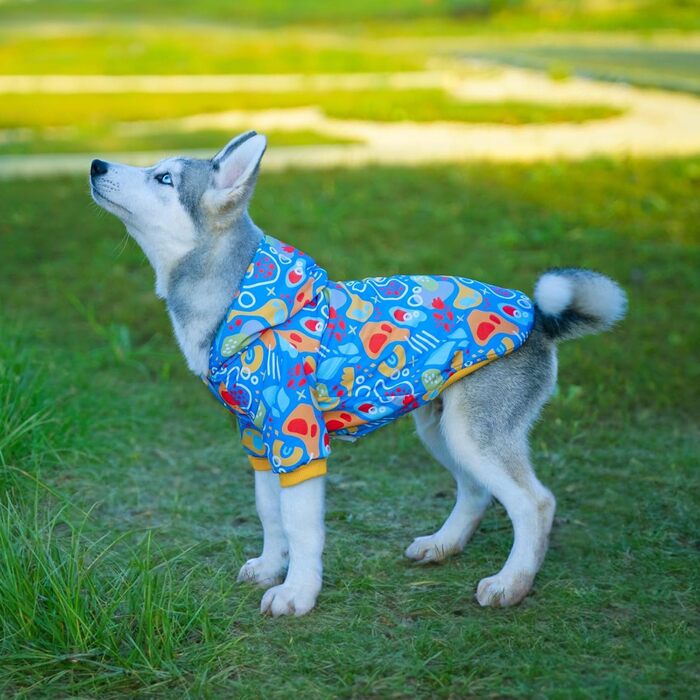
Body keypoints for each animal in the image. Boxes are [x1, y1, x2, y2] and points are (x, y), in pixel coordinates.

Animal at [90, 130, 628, 612]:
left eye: (164, 177)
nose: (96, 165)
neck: (235, 299)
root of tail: (540, 316)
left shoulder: (300, 440)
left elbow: (301, 527)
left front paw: (297, 592)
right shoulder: (259, 440)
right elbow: (270, 513)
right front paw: (271, 566)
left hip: (472, 433)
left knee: (535, 504)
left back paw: (511, 583)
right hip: (441, 429)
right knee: (476, 491)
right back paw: (443, 544)